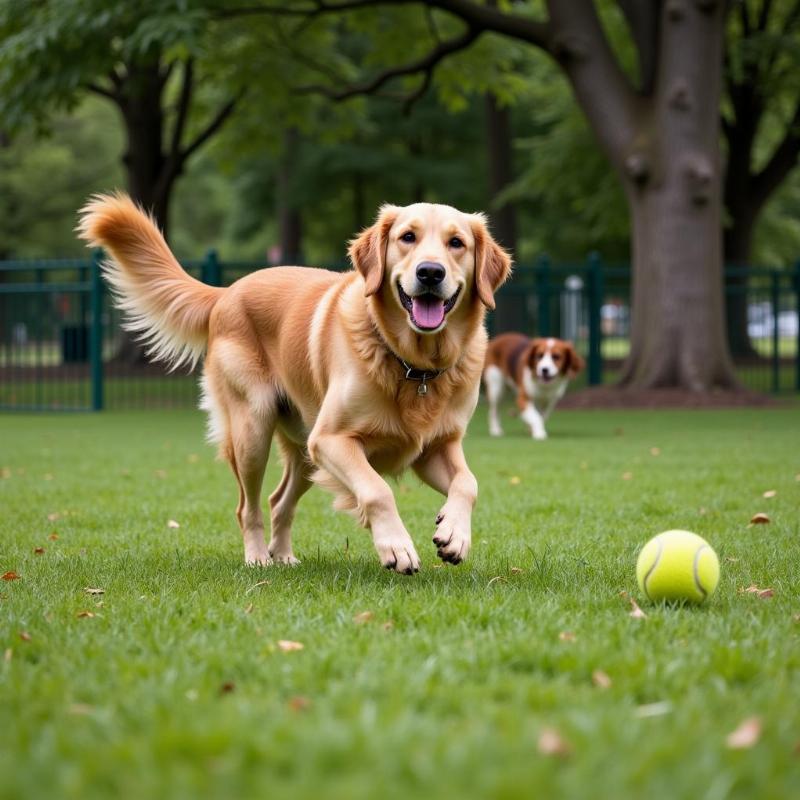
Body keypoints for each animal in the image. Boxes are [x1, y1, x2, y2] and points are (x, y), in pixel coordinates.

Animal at [78, 194, 510, 572]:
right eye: (408, 237)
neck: (413, 366)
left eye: (456, 243)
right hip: (254, 431)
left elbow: (469, 483)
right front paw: (396, 547)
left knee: (278, 501)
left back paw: (282, 556)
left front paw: (454, 533)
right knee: (248, 506)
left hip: (304, 451)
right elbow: (377, 490)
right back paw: (257, 558)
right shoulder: (332, 440)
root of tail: (226, 292)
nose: (430, 272)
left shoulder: (437, 447)